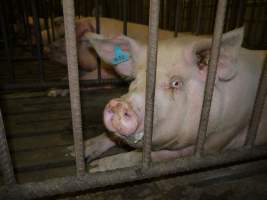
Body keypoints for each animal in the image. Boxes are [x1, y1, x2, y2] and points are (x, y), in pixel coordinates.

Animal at [66, 27, 266, 172]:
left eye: (176, 83)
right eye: (134, 79)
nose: (118, 104)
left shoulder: (219, 139)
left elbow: (142, 156)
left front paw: (94, 169)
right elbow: (111, 136)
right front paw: (75, 152)